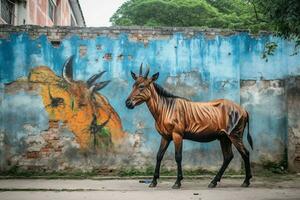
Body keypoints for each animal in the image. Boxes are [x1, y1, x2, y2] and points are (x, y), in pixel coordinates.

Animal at [125, 64, 253, 189]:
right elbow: (159, 156)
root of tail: (243, 110)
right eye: (133, 85)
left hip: (234, 135)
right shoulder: (165, 136)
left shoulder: (177, 135)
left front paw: (177, 182)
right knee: (228, 157)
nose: (127, 103)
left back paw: (246, 181)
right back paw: (213, 182)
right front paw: (153, 181)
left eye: (141, 86)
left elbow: (178, 156)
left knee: (245, 153)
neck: (166, 108)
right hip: (224, 137)